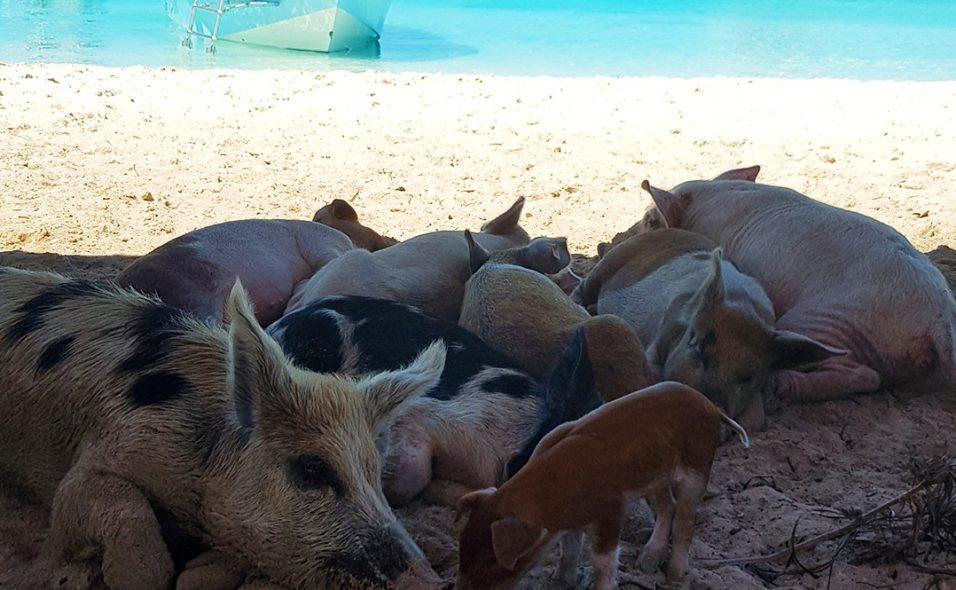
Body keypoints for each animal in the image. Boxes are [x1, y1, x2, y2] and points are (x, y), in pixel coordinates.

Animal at [456, 381, 750, 590]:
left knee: (685, 521)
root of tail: (711, 406)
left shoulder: (611, 511)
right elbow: (569, 552)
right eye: (461, 548)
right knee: (668, 507)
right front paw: (562, 582)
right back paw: (646, 563)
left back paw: (674, 577)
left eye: (491, 560)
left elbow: (602, 562)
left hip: (697, 465)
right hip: (654, 477)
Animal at [571, 228, 842, 428]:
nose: (714, 408)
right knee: (583, 286)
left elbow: (756, 420)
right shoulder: (659, 335)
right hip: (609, 264)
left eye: (748, 377)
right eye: (700, 349)